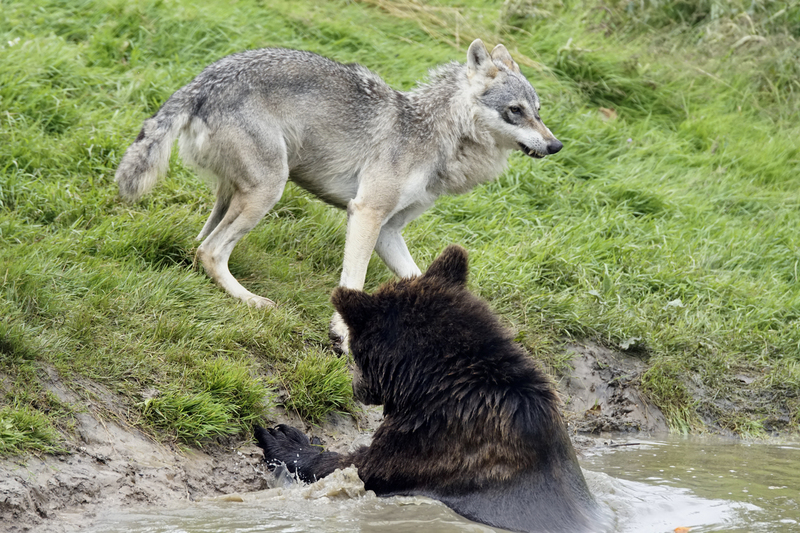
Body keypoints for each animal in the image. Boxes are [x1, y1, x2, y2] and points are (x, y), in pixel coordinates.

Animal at [115, 39, 562, 349]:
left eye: (539, 112)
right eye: (515, 111)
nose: (556, 145)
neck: (435, 136)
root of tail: (203, 80)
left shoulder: (388, 231)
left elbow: (423, 280)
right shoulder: (366, 212)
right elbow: (354, 282)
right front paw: (343, 337)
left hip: (236, 195)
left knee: (198, 245)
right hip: (268, 192)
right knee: (210, 250)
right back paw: (251, 300)